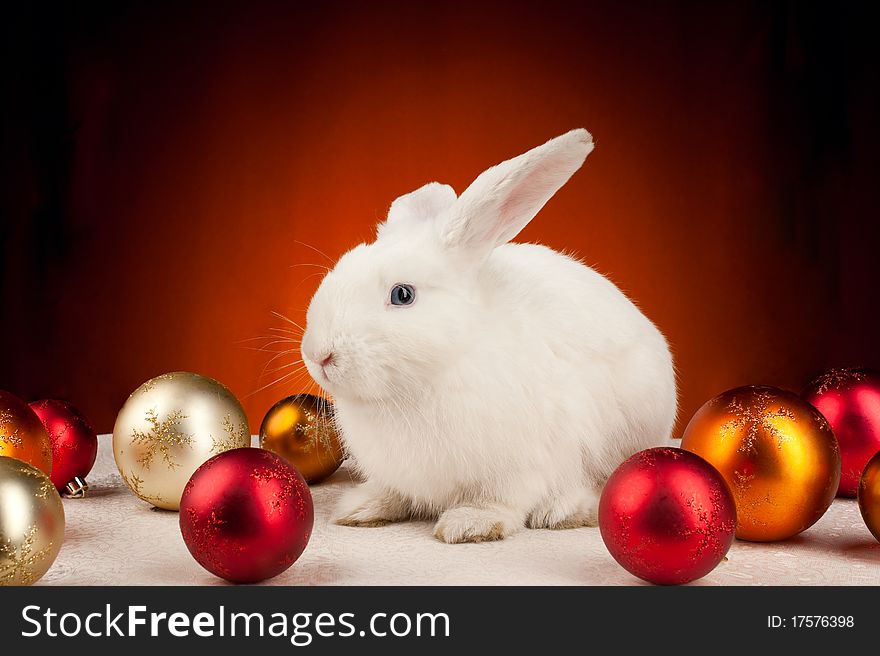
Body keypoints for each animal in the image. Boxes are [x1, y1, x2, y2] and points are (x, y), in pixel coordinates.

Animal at [300, 128, 676, 544]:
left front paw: (470, 524)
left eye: (402, 295)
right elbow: (392, 492)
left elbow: (499, 500)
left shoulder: (521, 464)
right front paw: (362, 509)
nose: (319, 355)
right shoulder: (395, 472)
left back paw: (561, 510)